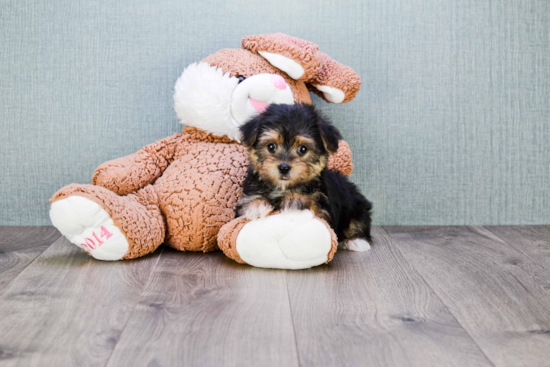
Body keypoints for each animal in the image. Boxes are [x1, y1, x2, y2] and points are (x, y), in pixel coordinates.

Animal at [237, 103, 376, 253]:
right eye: (271, 146)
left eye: (303, 149)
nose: (284, 167)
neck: (283, 188)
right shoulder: (248, 194)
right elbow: (249, 202)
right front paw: (256, 207)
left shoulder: (326, 212)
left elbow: (313, 205)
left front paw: (296, 200)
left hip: (357, 206)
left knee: (358, 223)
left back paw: (355, 241)